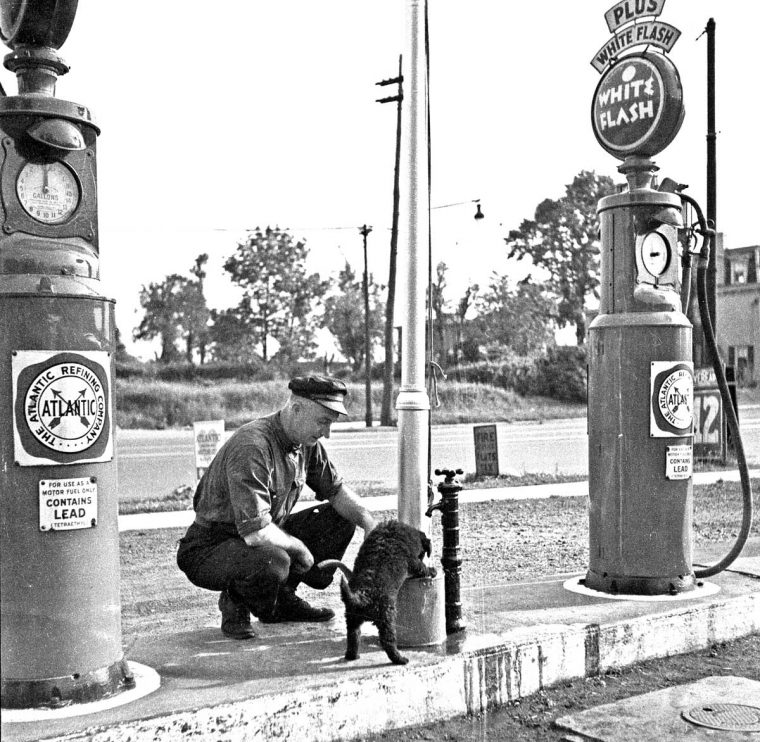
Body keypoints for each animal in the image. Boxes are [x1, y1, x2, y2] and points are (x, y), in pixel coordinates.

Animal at [316, 520, 434, 664]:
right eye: (422, 554)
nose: (423, 556)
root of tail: (363, 597)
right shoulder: (413, 561)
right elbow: (422, 568)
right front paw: (432, 571)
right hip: (386, 617)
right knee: (387, 642)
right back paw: (400, 659)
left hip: (352, 618)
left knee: (353, 637)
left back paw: (352, 656)